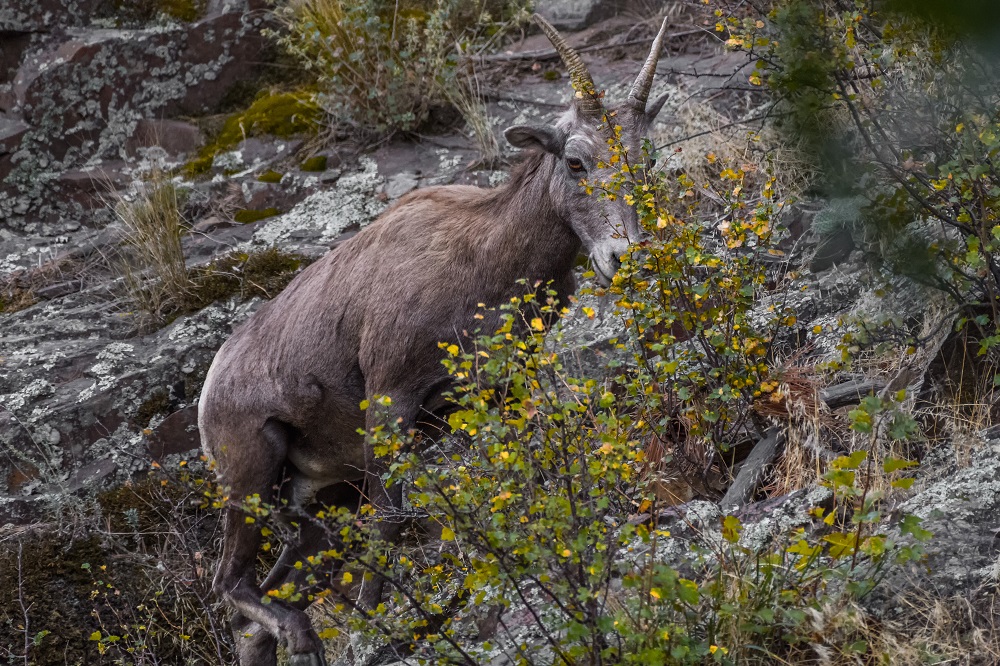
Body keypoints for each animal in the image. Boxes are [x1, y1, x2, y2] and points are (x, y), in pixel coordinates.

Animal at [200, 15, 672, 664]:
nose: (623, 260)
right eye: (576, 161)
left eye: (645, 159)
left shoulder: (501, 393)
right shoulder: (391, 403)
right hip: (249, 482)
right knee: (229, 584)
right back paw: (303, 635)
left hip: (314, 503)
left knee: (258, 607)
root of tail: (212, 386)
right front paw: (376, 623)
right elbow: (391, 521)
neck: (482, 260)